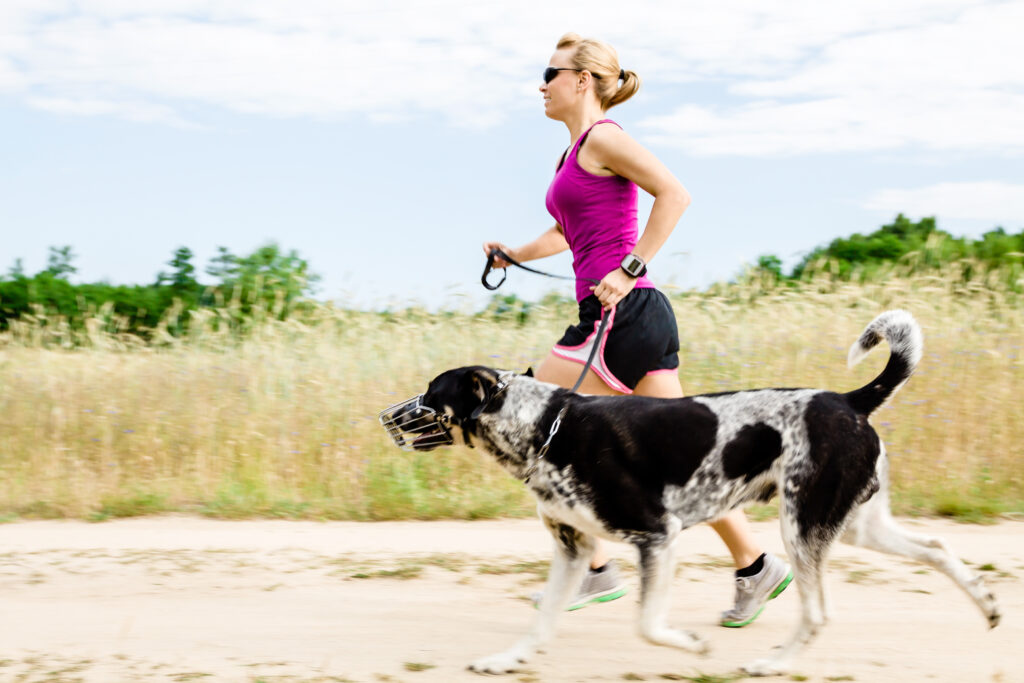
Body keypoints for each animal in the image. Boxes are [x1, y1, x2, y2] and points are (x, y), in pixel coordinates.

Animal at [382, 313, 999, 675]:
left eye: (431, 391)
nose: (387, 417)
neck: (545, 426)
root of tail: (849, 399)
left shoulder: (658, 536)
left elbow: (647, 625)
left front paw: (695, 648)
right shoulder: (572, 548)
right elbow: (544, 620)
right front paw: (509, 659)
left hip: (803, 528)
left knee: (818, 613)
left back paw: (773, 664)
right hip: (856, 524)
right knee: (939, 549)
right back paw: (989, 607)